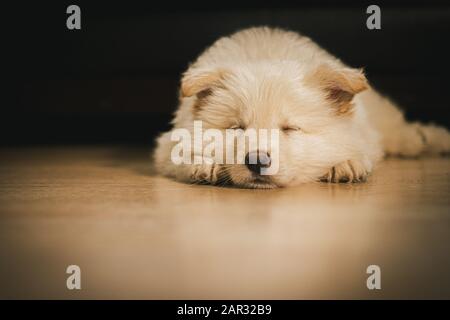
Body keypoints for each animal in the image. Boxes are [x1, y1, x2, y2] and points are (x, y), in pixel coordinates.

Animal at [154, 27, 450, 189]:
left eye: (290, 129)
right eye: (236, 127)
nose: (257, 161)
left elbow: (355, 147)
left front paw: (346, 163)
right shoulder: (169, 141)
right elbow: (178, 151)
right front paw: (203, 163)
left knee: (396, 130)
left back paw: (425, 139)